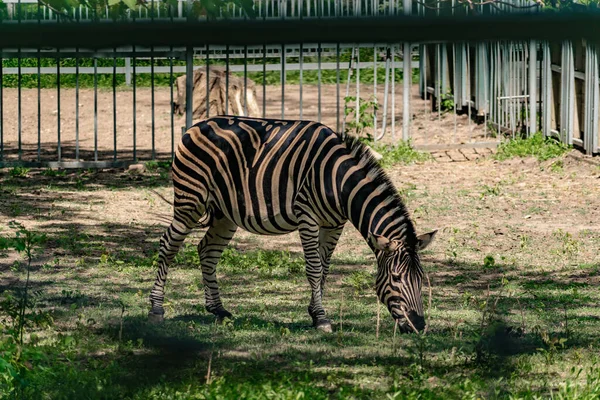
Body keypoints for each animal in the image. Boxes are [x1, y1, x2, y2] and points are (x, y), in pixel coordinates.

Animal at [145, 116, 436, 334]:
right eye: (396, 278)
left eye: (421, 278)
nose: (419, 326)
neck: (339, 182)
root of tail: (195, 126)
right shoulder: (307, 216)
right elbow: (314, 269)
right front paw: (321, 318)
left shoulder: (334, 224)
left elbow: (325, 269)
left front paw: (314, 312)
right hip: (190, 201)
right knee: (168, 244)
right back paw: (156, 309)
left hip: (224, 213)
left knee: (207, 250)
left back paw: (218, 310)